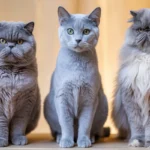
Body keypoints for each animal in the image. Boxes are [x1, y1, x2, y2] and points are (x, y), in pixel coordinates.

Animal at [44, 6, 108, 148]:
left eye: (86, 31)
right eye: (70, 31)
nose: (78, 40)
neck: (77, 65)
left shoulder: (90, 98)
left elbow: (85, 124)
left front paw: (83, 141)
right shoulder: (62, 97)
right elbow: (66, 123)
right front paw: (67, 141)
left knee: (95, 130)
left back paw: (91, 138)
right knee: (57, 130)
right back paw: (60, 138)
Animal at [112, 8, 150, 148]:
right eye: (140, 30)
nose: (146, 31)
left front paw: (148, 142)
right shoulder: (130, 96)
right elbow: (136, 125)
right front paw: (137, 141)